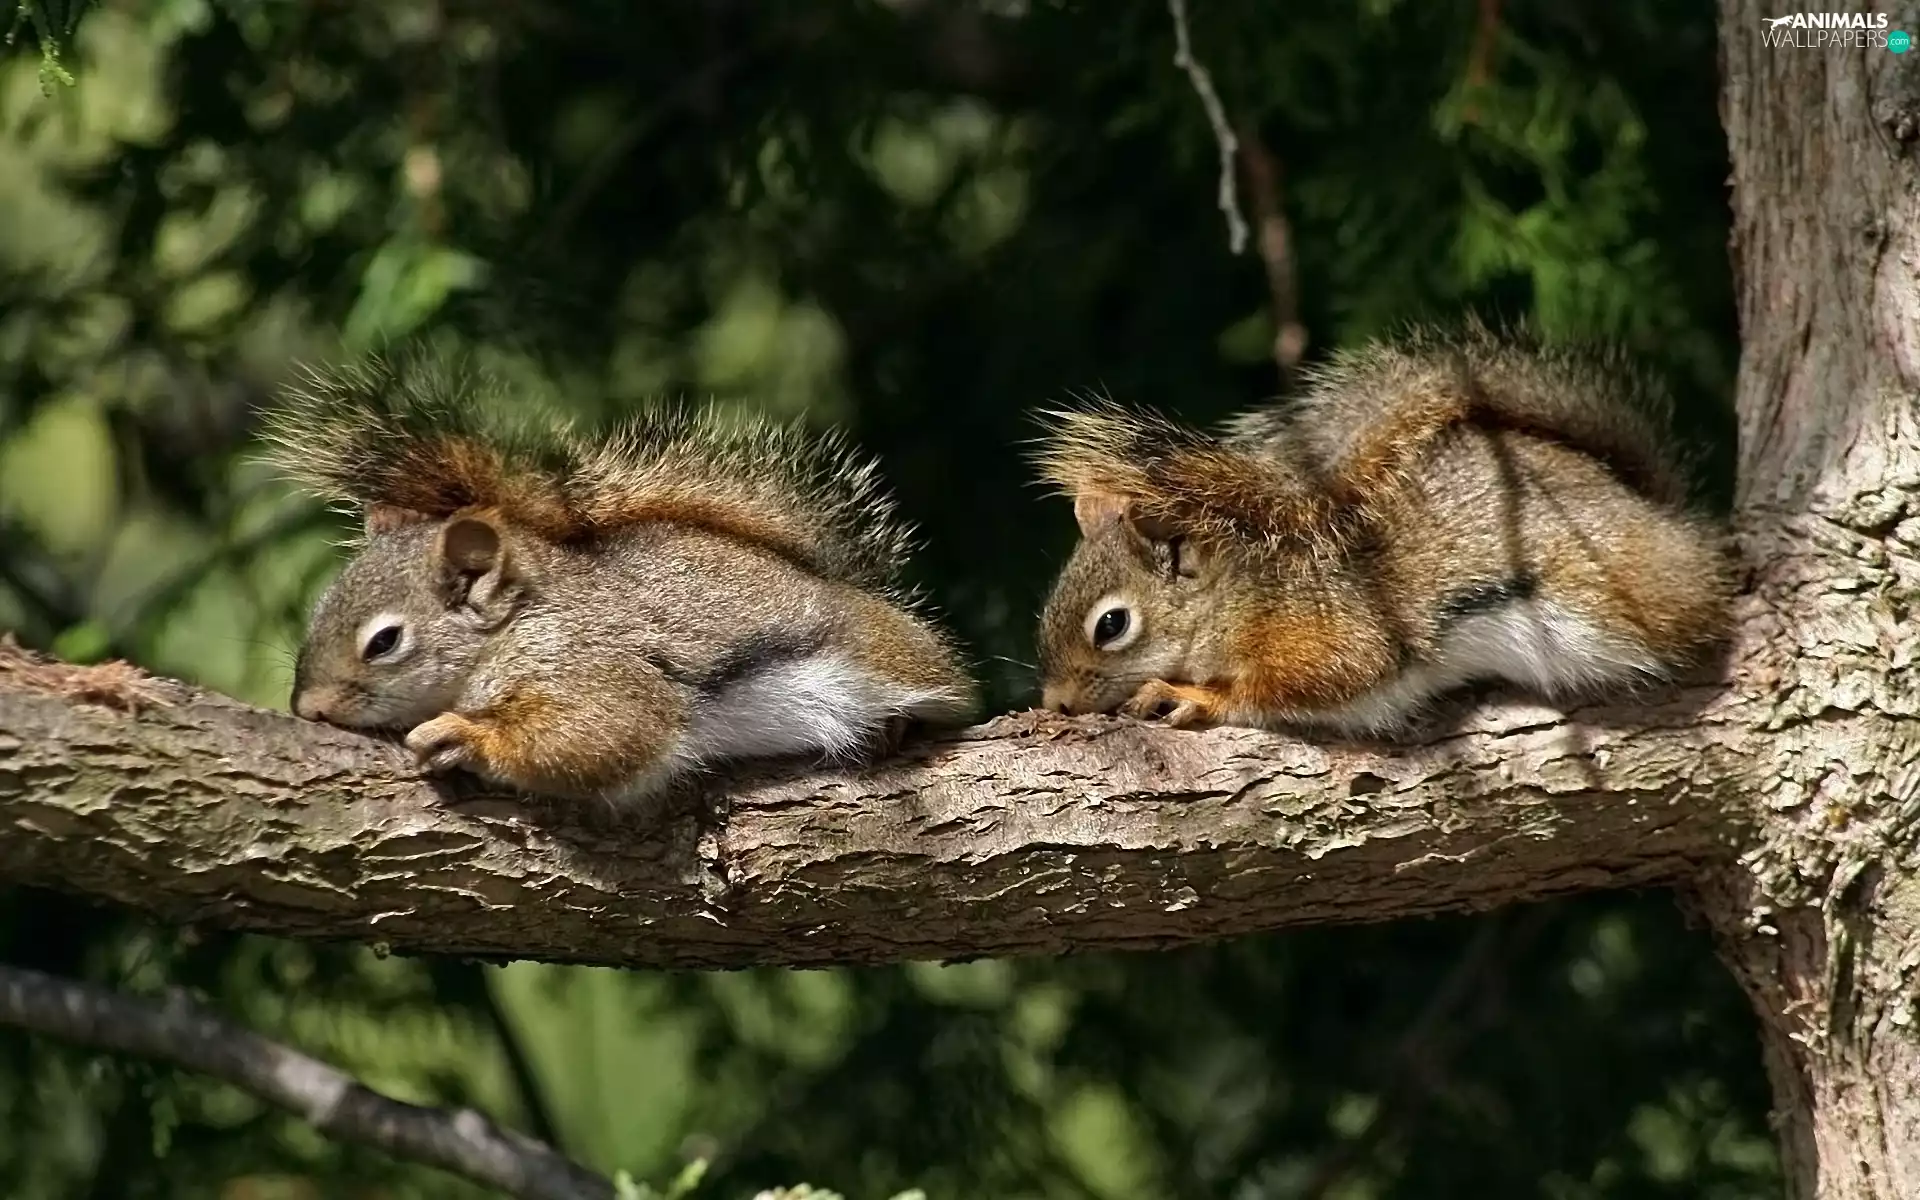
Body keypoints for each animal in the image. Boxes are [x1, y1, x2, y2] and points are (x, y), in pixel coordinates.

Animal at [263, 351, 978, 805]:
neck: (512, 627)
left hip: (890, 658)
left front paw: (465, 736)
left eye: (384, 642)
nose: (308, 709)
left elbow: (611, 729)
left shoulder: (591, 662)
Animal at [1031, 321, 1735, 736]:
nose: (1056, 701)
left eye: (1111, 625)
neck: (1239, 594)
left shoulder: (1330, 632)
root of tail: (1669, 520)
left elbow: (1311, 683)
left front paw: (1190, 695)